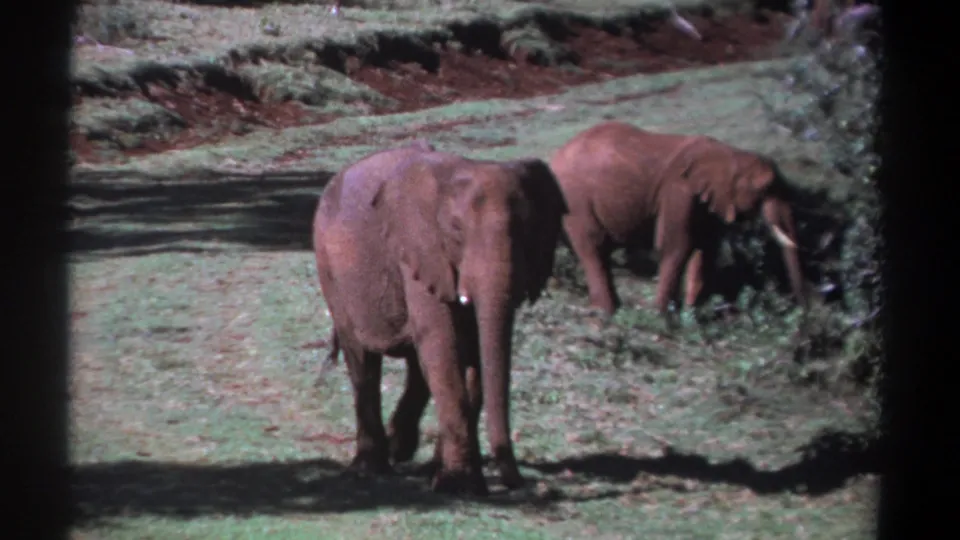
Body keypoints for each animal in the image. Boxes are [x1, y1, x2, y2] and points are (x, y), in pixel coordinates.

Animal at [312, 143, 567, 496]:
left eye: (528, 230)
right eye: (456, 231)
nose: (520, 484)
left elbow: (470, 353)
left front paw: (455, 478)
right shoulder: (419, 252)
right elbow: (443, 343)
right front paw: (458, 485)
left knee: (416, 364)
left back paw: (404, 452)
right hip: (330, 269)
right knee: (363, 360)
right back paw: (370, 468)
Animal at [548, 121, 807, 328]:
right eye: (765, 188)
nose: (801, 310)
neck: (729, 155)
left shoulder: (708, 201)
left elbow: (706, 251)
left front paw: (693, 317)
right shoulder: (678, 192)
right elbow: (678, 245)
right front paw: (663, 318)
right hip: (576, 199)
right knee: (593, 246)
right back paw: (607, 312)